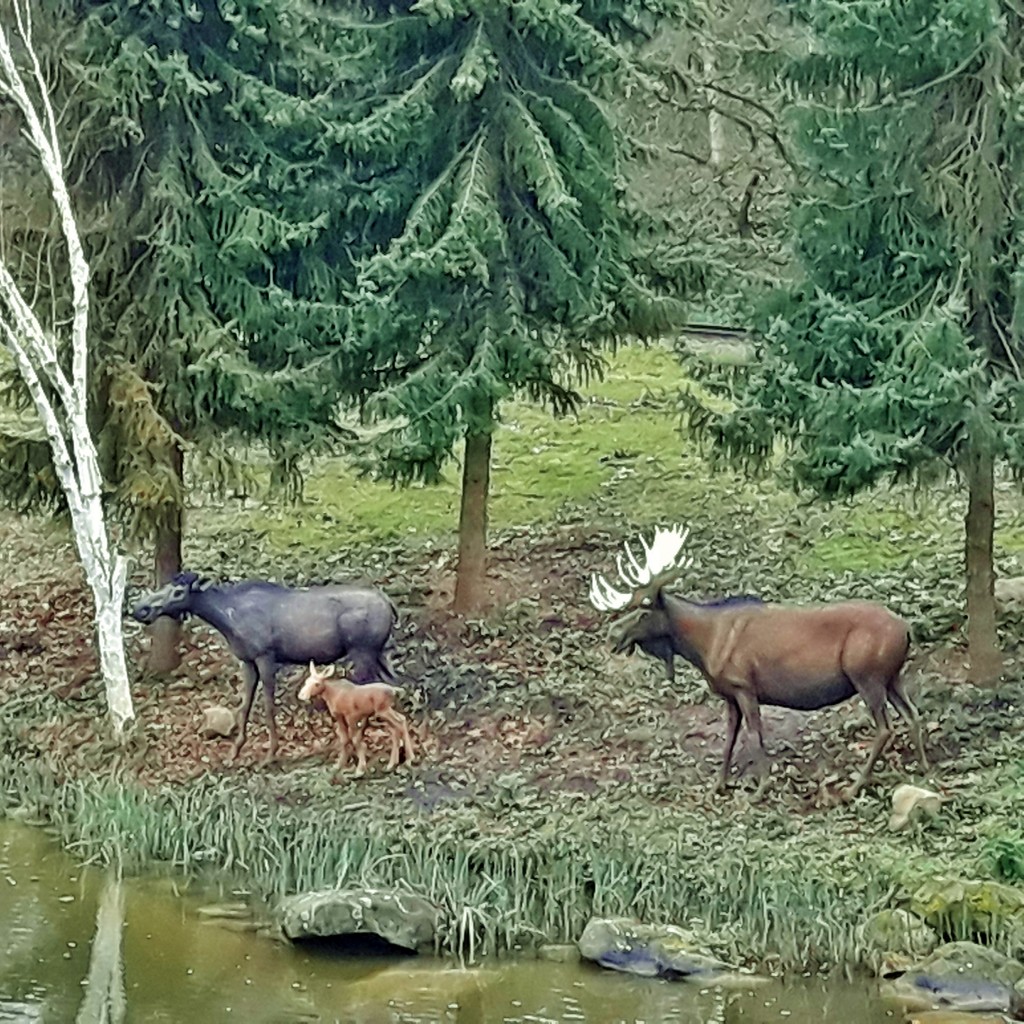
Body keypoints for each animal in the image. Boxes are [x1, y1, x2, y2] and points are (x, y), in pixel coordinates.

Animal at [129, 573, 399, 765]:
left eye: (178, 592)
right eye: (164, 585)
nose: (140, 608)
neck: (225, 619)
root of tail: (390, 603)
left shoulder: (266, 657)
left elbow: (268, 706)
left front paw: (270, 754)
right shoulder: (247, 661)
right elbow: (244, 706)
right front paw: (233, 753)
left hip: (362, 651)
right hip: (377, 654)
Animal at [589, 524, 933, 794]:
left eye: (644, 610)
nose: (613, 635)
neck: (705, 646)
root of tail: (906, 630)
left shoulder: (744, 685)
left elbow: (755, 735)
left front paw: (761, 787)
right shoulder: (728, 693)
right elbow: (729, 738)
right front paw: (718, 785)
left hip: (866, 674)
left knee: (885, 727)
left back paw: (856, 785)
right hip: (891, 676)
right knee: (913, 714)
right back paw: (924, 769)